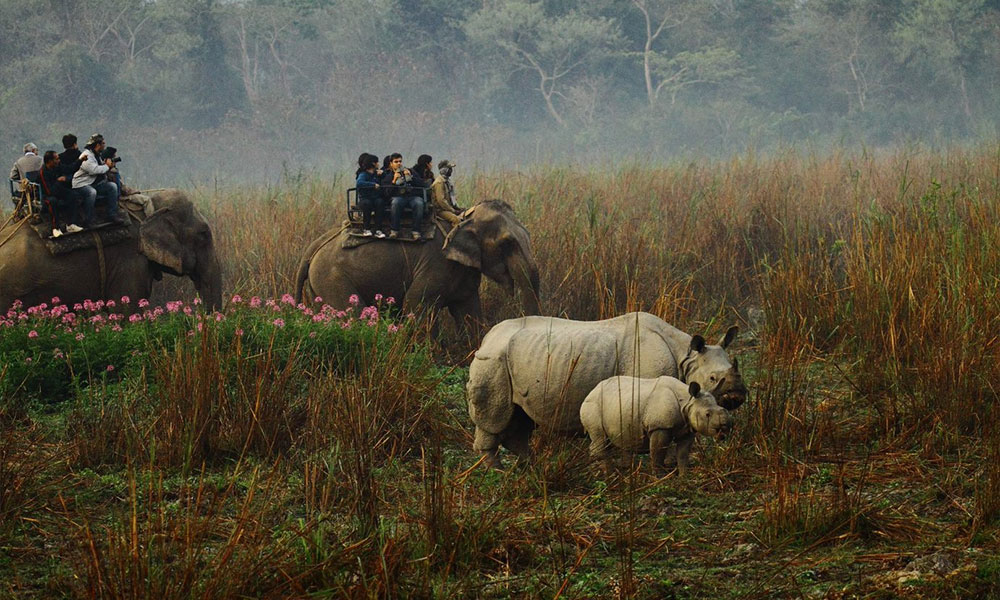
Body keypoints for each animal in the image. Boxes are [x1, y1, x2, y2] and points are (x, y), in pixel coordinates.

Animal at [294, 200, 540, 332]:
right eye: (507, 243)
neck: (461, 219)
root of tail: (313, 247)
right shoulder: (436, 264)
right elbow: (415, 304)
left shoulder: (463, 272)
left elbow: (468, 313)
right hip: (331, 278)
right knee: (352, 315)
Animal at [466, 314, 744, 468]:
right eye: (713, 378)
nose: (737, 396)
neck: (686, 355)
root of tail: (487, 336)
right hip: (493, 360)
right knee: (494, 418)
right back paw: (498, 471)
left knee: (521, 418)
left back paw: (529, 467)